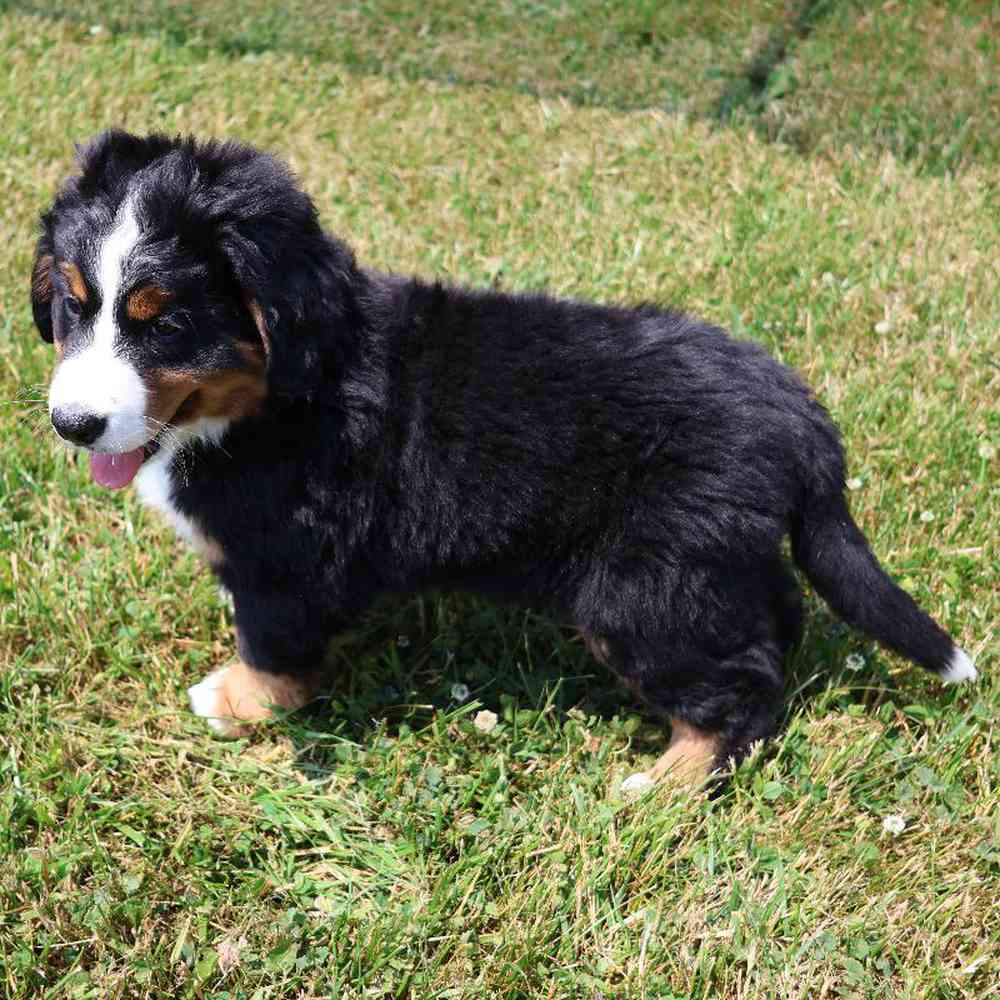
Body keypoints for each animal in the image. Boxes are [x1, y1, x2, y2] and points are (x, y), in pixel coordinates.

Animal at [31, 131, 976, 788]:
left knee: (739, 689)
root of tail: (796, 410)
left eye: (164, 323)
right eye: (72, 305)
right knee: (771, 628)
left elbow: (271, 647)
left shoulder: (284, 564)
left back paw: (659, 787)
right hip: (715, 561)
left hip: (645, 589)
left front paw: (237, 702)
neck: (281, 390)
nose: (72, 424)